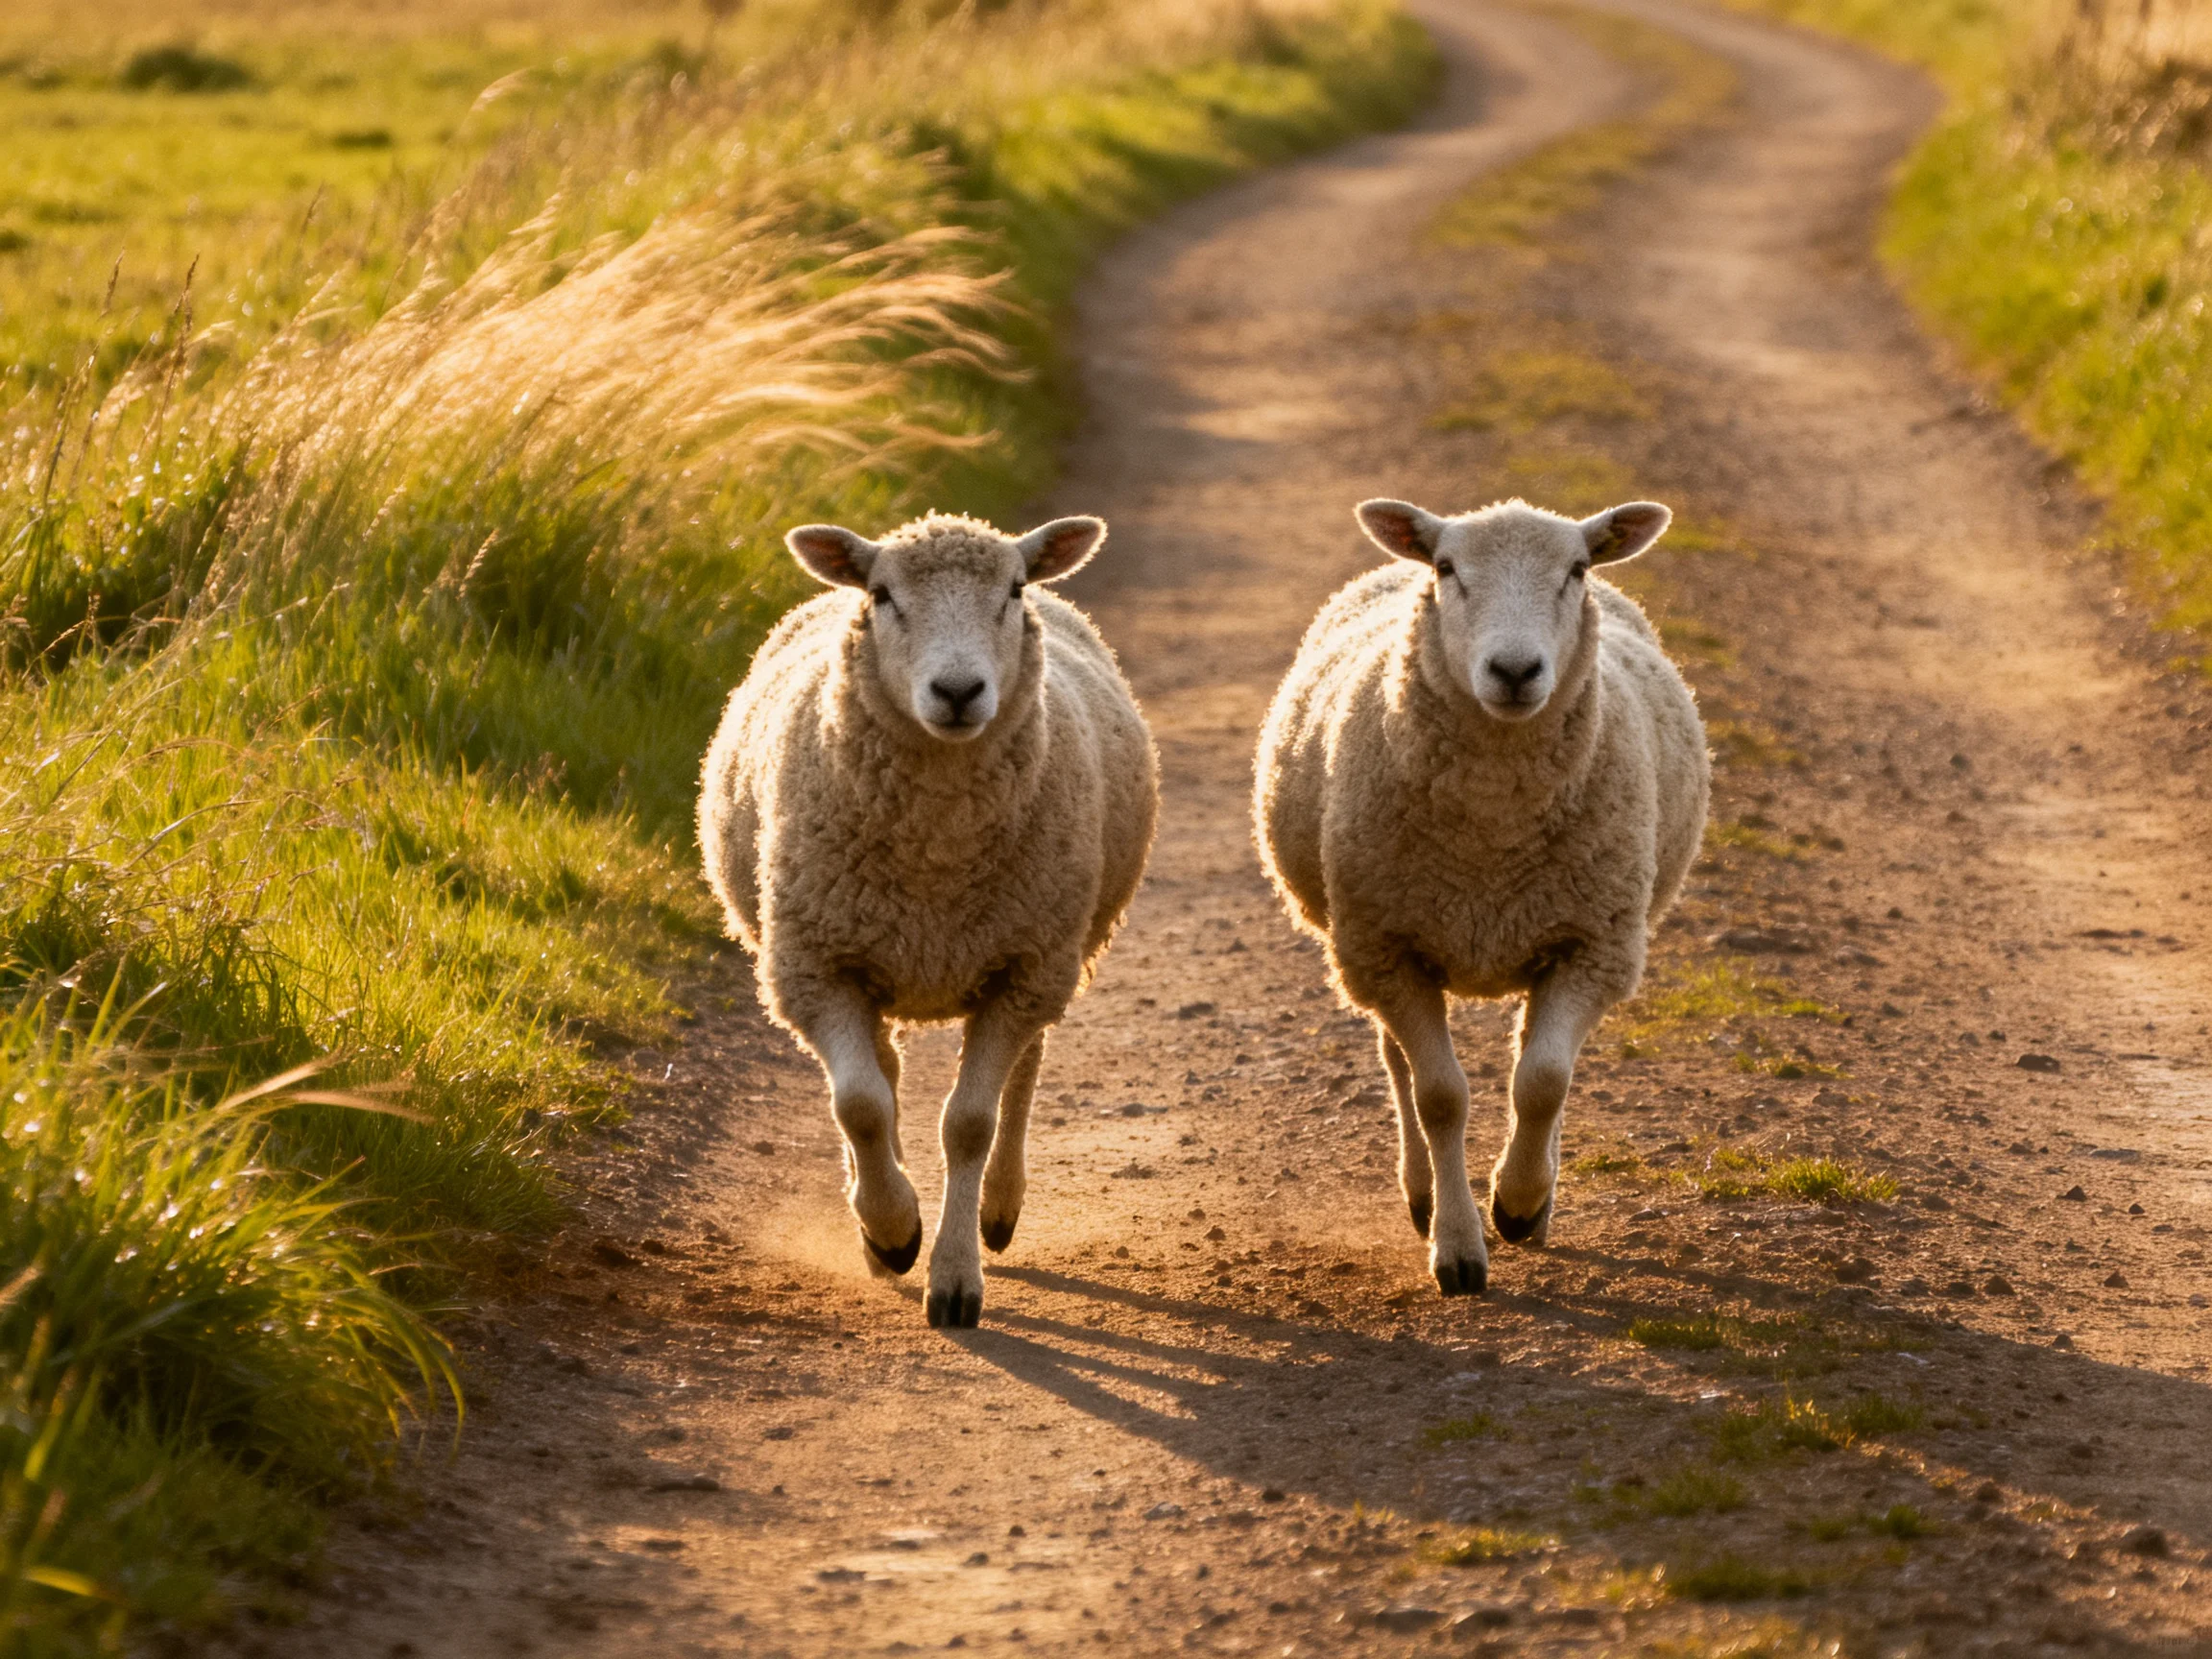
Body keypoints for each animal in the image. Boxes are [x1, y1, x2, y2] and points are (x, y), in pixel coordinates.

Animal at [699, 511, 1158, 1328]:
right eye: (883, 595)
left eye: (1014, 589)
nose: (957, 690)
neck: (935, 855)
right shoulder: (815, 967)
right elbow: (860, 1106)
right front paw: (890, 1229)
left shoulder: (1021, 968)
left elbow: (969, 1123)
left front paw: (953, 1276)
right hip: (875, 950)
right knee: (881, 1075)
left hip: (1051, 951)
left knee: (1023, 1075)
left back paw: (998, 1209)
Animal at [1253, 497, 1708, 1296]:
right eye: (1446, 568)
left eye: (1577, 570)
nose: (1515, 670)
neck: (1493, 834)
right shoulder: (1389, 950)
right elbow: (1440, 1096)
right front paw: (1459, 1247)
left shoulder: (1591, 945)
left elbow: (1544, 1082)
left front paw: (1519, 1203)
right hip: (1371, 943)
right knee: (1399, 1064)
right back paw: (1424, 1194)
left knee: (1536, 1059)